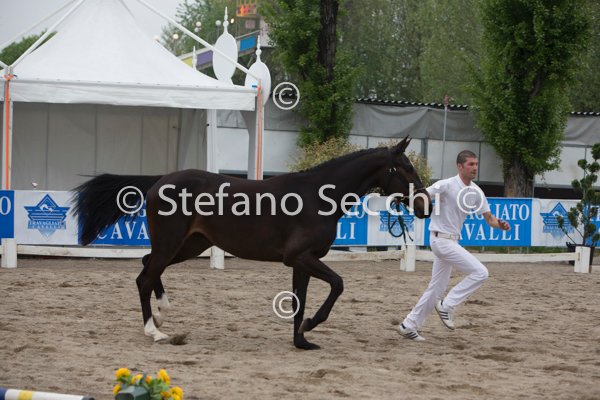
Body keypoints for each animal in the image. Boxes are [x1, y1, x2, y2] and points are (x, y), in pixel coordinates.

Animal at [73, 136, 432, 350]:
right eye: (406, 169)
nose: (425, 206)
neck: (317, 197)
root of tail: (160, 180)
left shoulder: (303, 261)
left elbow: (299, 299)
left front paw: (301, 340)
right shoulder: (299, 257)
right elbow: (337, 284)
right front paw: (312, 325)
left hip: (190, 245)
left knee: (148, 265)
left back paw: (163, 313)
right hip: (172, 242)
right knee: (145, 276)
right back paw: (155, 331)